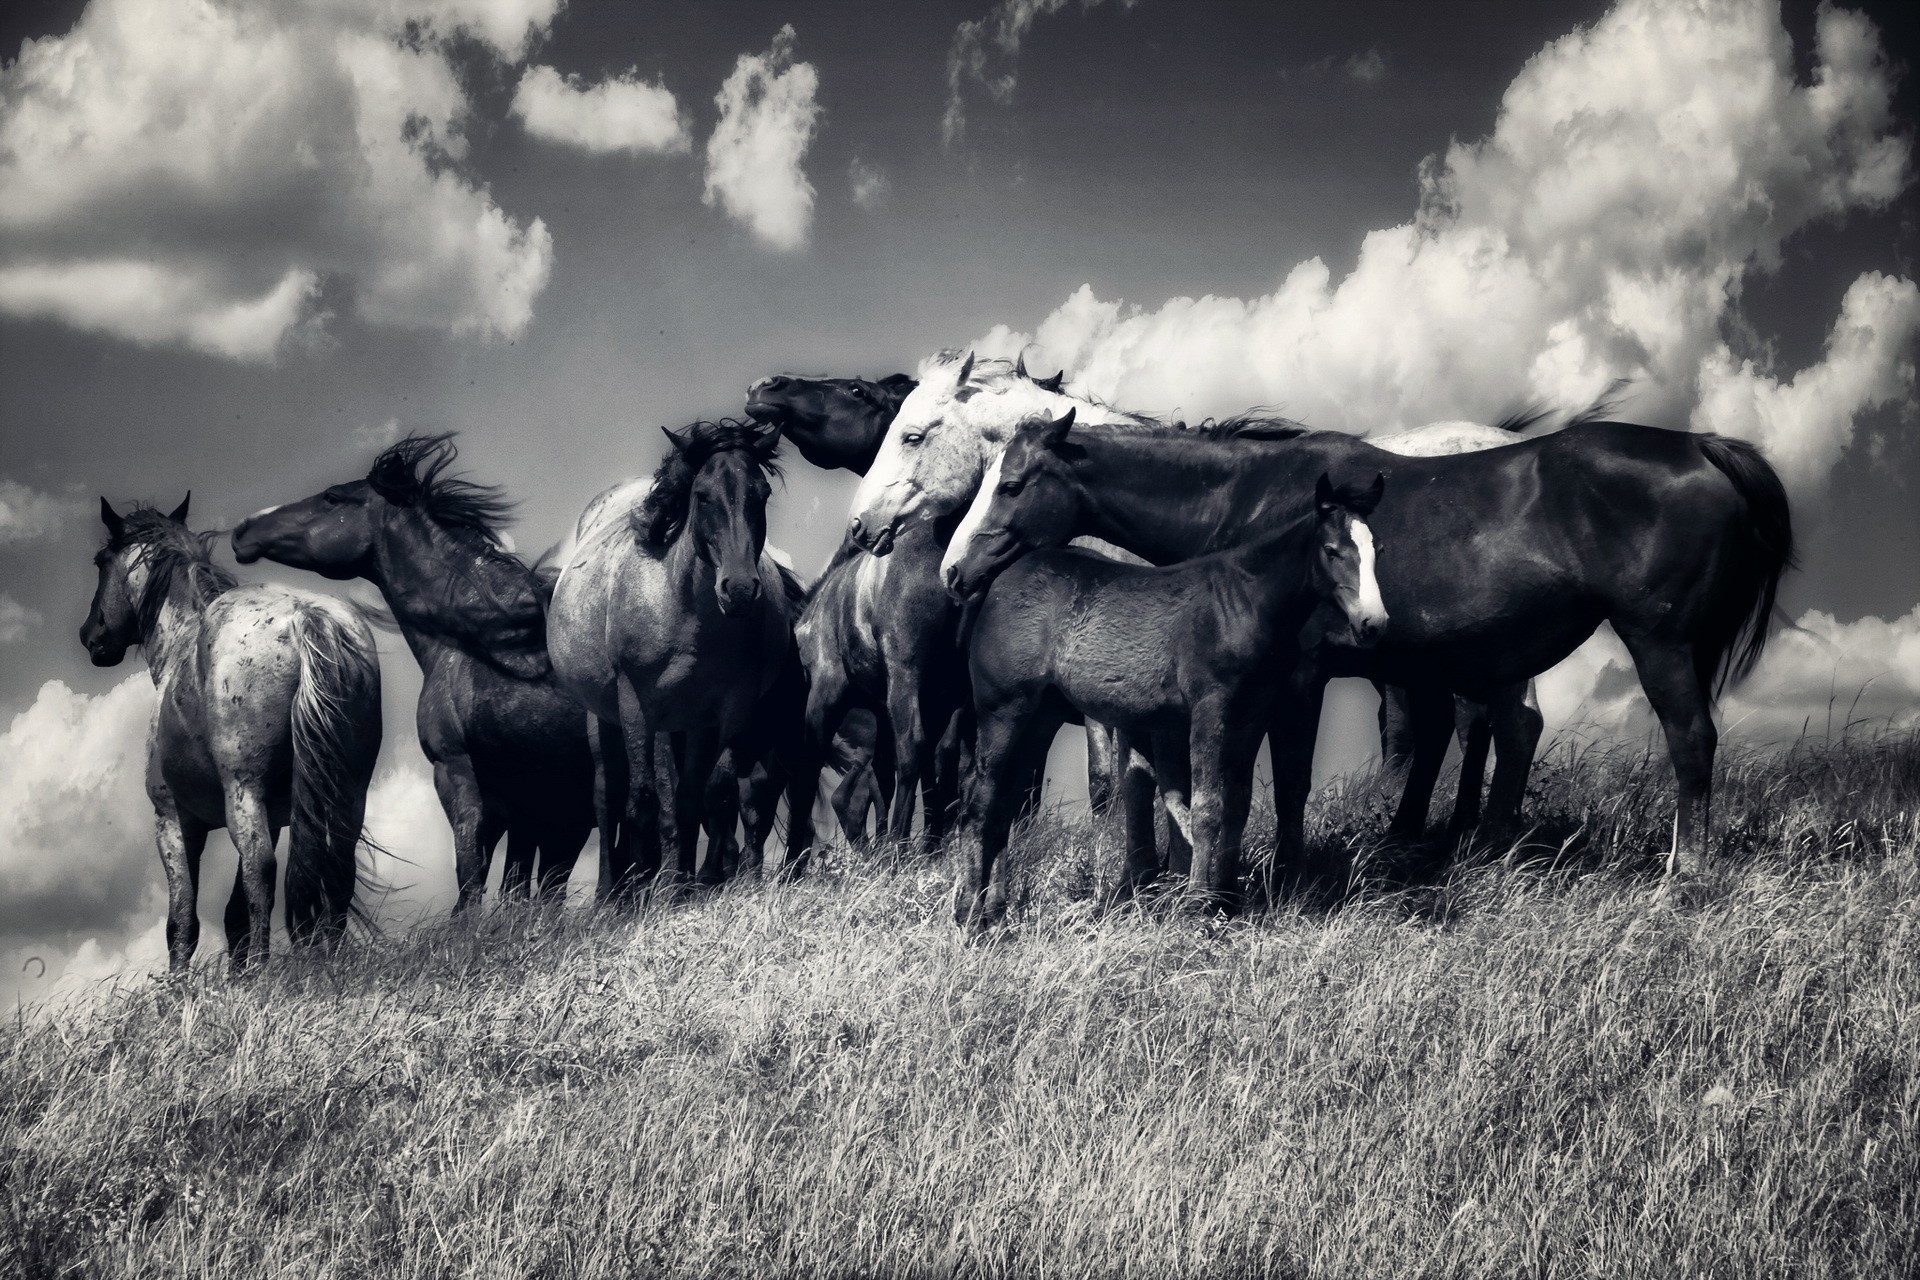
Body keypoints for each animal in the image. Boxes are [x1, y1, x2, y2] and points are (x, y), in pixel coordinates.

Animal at [82, 497, 383, 972]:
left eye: (100, 562)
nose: (91, 635)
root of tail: (306, 617)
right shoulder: (274, 816)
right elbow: (234, 914)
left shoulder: (174, 821)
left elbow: (182, 922)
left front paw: (179, 986)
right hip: (347, 792)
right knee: (337, 865)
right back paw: (331, 962)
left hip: (244, 790)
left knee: (262, 868)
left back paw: (263, 971)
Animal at [231, 435, 594, 910]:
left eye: (332, 497)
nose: (243, 530)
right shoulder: (535, 803)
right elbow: (523, 884)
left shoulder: (458, 773)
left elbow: (472, 874)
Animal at [547, 420, 817, 890]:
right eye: (702, 495)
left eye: (761, 494)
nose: (739, 589)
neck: (684, 612)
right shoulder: (640, 705)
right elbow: (645, 802)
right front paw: (648, 890)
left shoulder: (718, 714)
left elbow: (705, 797)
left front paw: (684, 888)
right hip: (604, 717)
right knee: (609, 796)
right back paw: (611, 891)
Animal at [939, 396, 1794, 881]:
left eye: (1011, 485)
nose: (952, 570)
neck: (1254, 503)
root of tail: (1701, 447)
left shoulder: (1295, 679)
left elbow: (1279, 781)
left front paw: (1280, 874)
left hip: (1661, 642)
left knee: (1688, 741)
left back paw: (1685, 874)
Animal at [950, 454, 1388, 930]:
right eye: (1332, 551)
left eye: (1377, 552)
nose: (1373, 623)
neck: (1243, 603)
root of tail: (999, 582)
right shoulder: (1210, 708)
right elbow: (1207, 806)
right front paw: (1197, 904)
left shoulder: (1252, 715)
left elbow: (1236, 804)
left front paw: (1227, 899)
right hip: (1002, 709)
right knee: (980, 801)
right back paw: (970, 914)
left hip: (1040, 715)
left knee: (1004, 801)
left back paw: (995, 911)